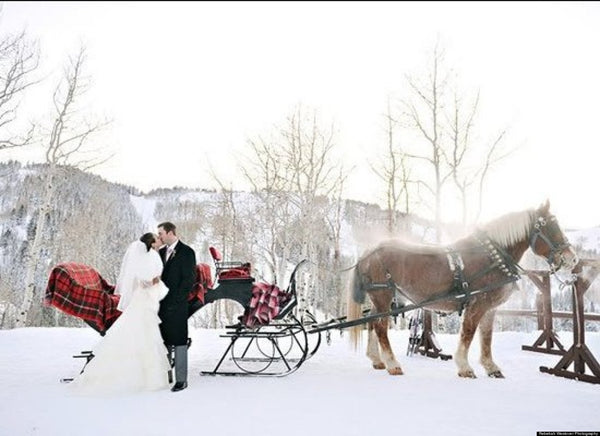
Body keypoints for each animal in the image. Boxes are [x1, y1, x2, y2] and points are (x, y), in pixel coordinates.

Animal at [346, 202, 576, 378]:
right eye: (550, 227)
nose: (572, 259)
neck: (492, 257)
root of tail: (368, 252)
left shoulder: (490, 308)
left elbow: (486, 337)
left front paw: (491, 367)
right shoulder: (477, 304)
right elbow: (468, 333)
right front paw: (465, 367)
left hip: (379, 299)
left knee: (373, 323)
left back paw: (377, 360)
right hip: (383, 295)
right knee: (380, 327)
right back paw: (392, 364)